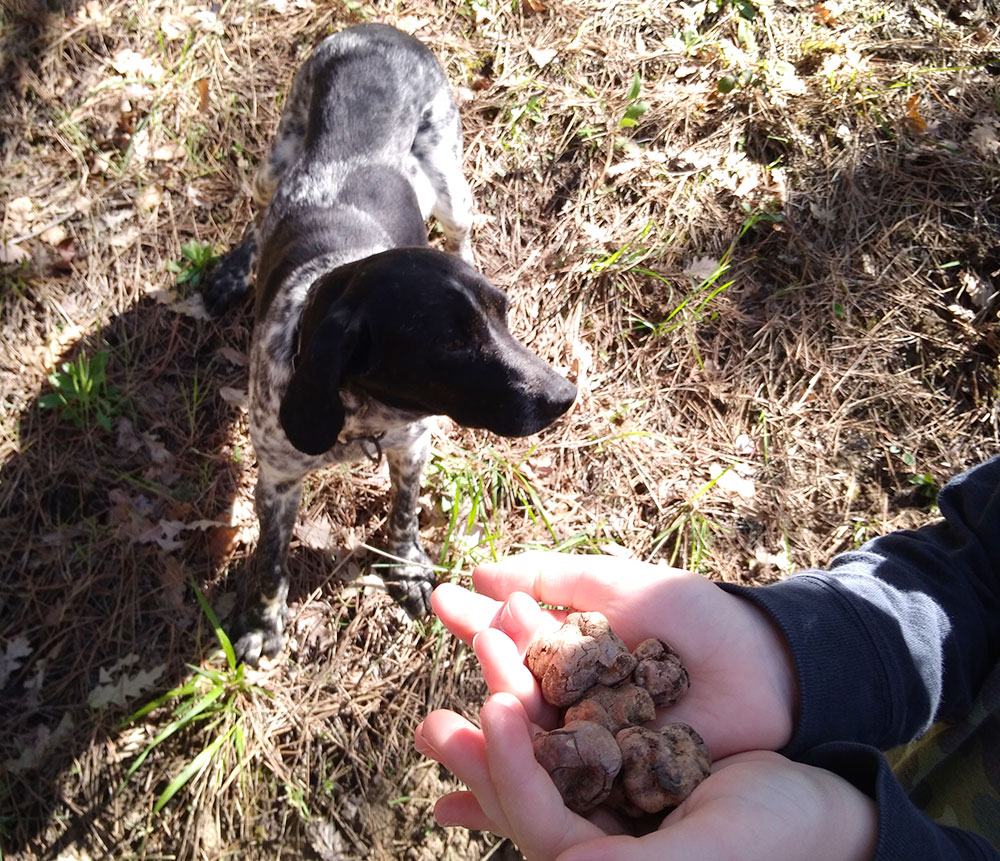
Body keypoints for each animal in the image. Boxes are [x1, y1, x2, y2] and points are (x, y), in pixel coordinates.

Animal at [203, 21, 580, 664]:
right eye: (450, 344)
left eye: (503, 316)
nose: (564, 395)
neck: (359, 416)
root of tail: (378, 29)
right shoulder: (276, 478)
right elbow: (272, 559)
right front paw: (263, 621)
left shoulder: (412, 446)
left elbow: (403, 515)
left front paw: (407, 570)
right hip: (274, 162)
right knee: (258, 213)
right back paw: (234, 270)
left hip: (450, 186)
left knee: (460, 232)